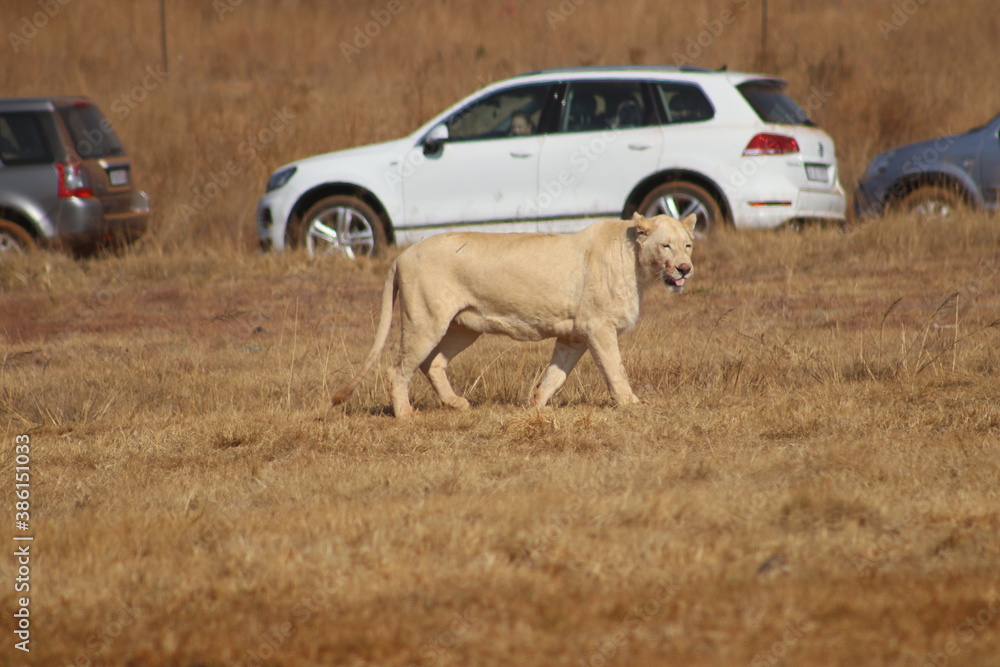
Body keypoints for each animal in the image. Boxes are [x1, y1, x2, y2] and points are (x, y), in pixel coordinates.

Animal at [331, 212, 696, 418]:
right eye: (666, 245)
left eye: (688, 245)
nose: (685, 268)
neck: (639, 267)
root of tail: (401, 256)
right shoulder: (599, 328)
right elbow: (615, 369)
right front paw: (631, 404)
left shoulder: (575, 335)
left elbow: (555, 375)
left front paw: (534, 406)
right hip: (425, 321)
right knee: (397, 370)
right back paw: (406, 415)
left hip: (463, 327)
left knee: (431, 364)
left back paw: (456, 404)